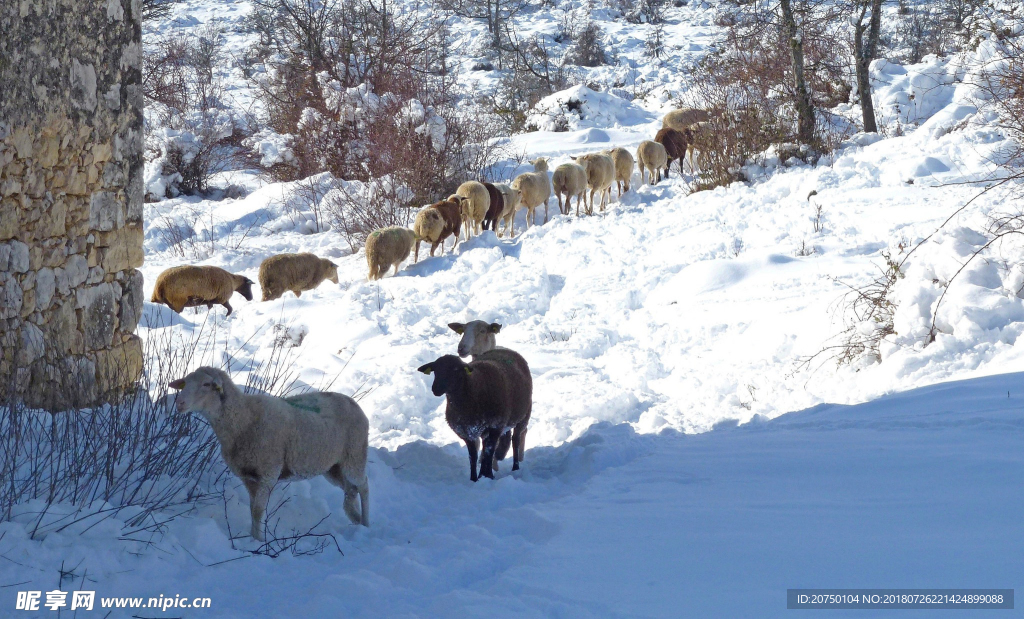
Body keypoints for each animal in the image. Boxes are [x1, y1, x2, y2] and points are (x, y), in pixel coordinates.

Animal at [169, 366, 370, 541]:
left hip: (354, 455)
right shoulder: (248, 477)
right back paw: (355, 519)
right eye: (185, 383)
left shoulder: (268, 474)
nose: (179, 403)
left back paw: (366, 524)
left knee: (363, 485)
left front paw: (258, 542)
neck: (243, 419)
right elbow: (252, 510)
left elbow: (258, 511)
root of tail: (353, 402)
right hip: (333, 467)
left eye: (206, 384)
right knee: (350, 490)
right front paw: (253, 538)